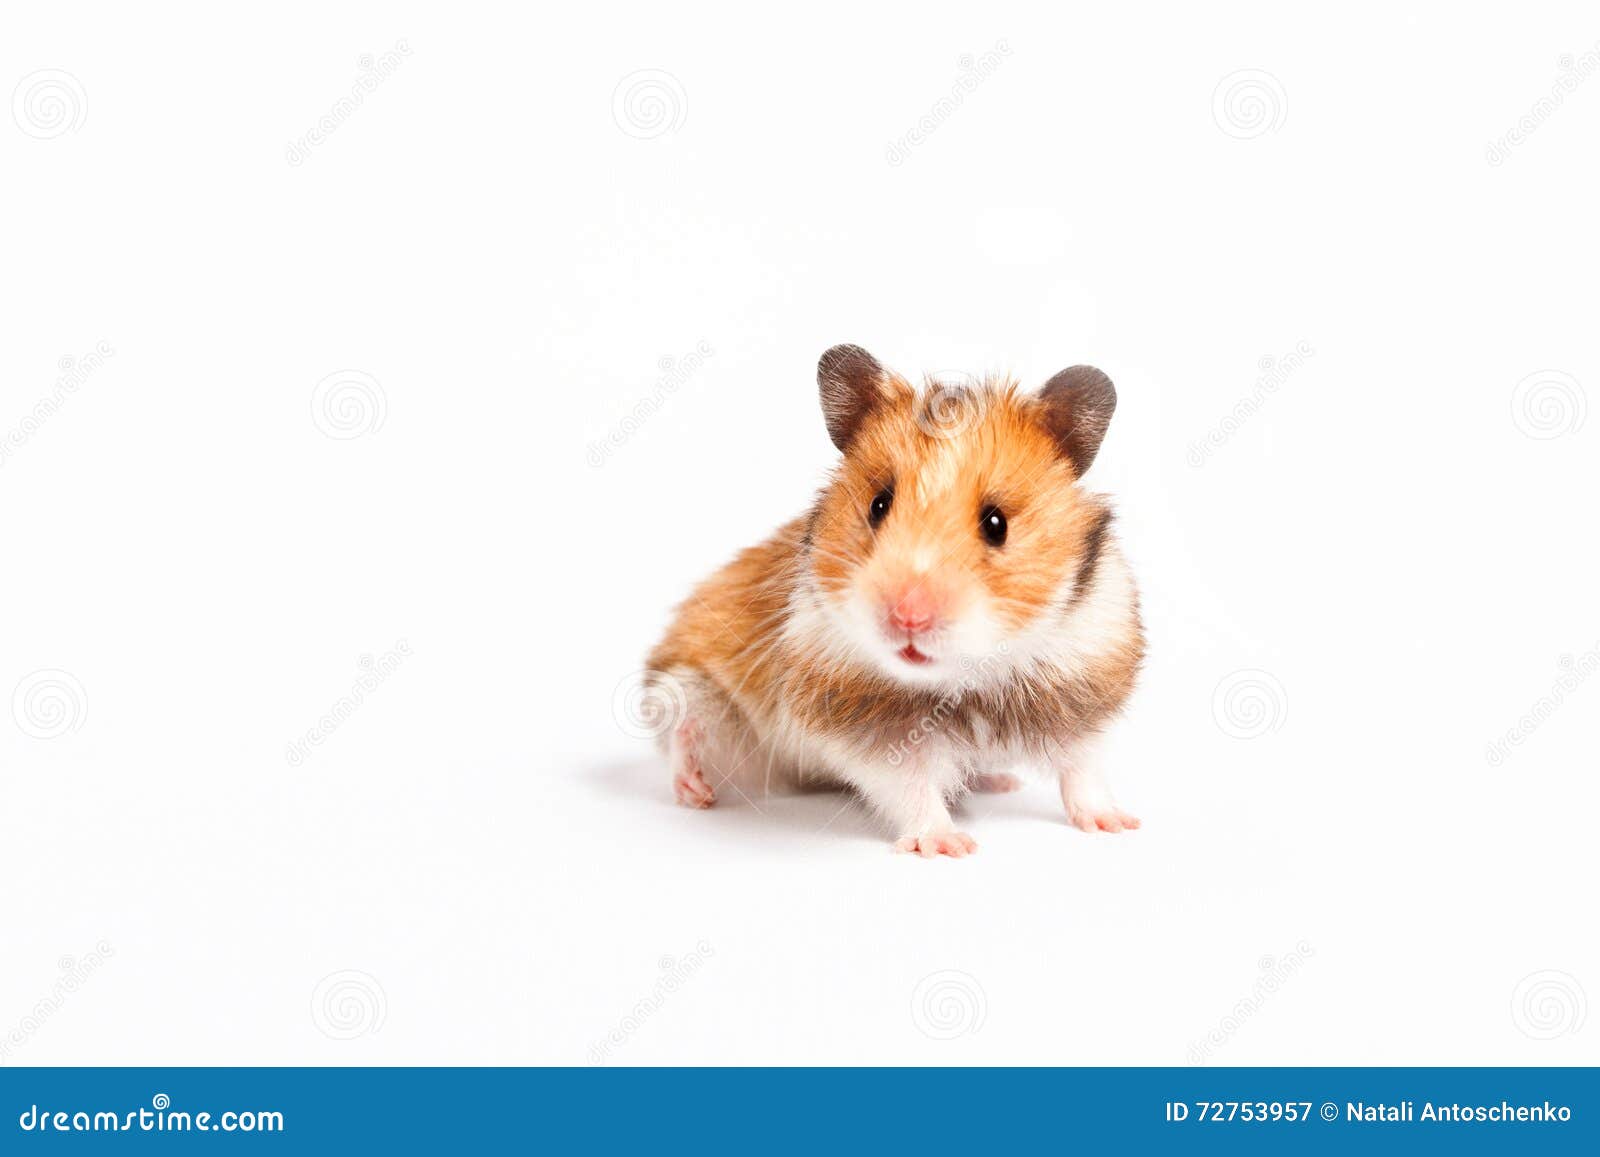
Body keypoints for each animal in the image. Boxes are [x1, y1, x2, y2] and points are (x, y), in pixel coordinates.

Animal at [643, 344, 1144, 857]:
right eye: (878, 505)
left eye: (997, 523)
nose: (908, 619)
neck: (969, 677)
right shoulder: (876, 733)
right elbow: (913, 789)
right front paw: (948, 845)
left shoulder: (1083, 692)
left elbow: (1082, 772)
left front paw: (1117, 824)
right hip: (695, 688)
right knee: (683, 725)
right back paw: (695, 790)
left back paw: (999, 781)